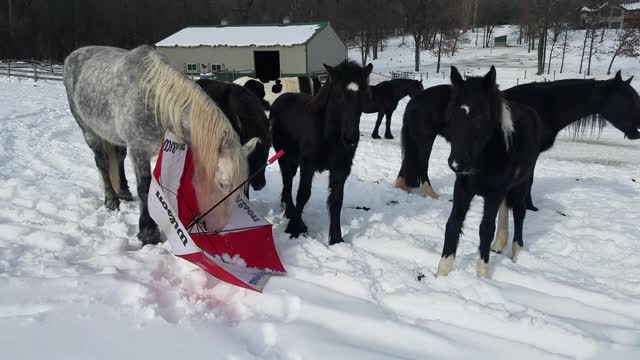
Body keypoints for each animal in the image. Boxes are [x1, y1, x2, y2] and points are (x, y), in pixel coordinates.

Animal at [63, 45, 256, 245]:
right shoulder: (139, 151)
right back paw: (111, 200)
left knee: (119, 157)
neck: (154, 100)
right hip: (89, 132)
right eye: (221, 183)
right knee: (102, 163)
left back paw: (124, 192)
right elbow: (144, 189)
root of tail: (74, 55)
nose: (217, 229)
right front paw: (148, 233)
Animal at [272, 61, 376, 245]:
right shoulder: (307, 166)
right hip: (285, 157)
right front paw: (294, 229)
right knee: (287, 182)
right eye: (338, 95)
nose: (350, 138)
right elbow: (303, 195)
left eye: (363, 95)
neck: (328, 135)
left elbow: (336, 201)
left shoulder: (341, 169)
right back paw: (290, 214)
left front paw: (336, 238)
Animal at [436, 66, 540, 278]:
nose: (456, 164)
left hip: (521, 184)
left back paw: (517, 254)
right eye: (451, 116)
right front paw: (442, 272)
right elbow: (453, 224)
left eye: (482, 117)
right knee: (505, 210)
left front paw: (482, 273)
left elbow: (485, 228)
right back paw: (499, 244)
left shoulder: (494, 193)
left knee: (519, 213)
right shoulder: (463, 188)